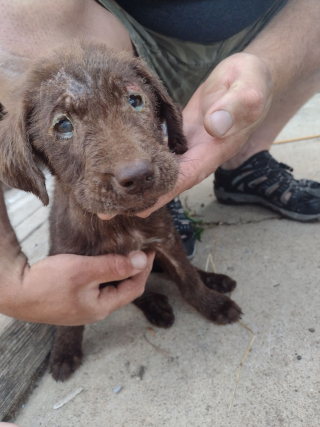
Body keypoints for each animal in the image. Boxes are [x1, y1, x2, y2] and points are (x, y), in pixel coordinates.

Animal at [0, 41, 240, 382]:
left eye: (135, 100)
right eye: (63, 125)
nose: (138, 176)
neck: (120, 225)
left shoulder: (165, 239)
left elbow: (186, 275)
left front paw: (212, 304)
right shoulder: (72, 264)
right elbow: (71, 316)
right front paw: (64, 350)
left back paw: (214, 280)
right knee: (137, 290)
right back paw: (156, 306)